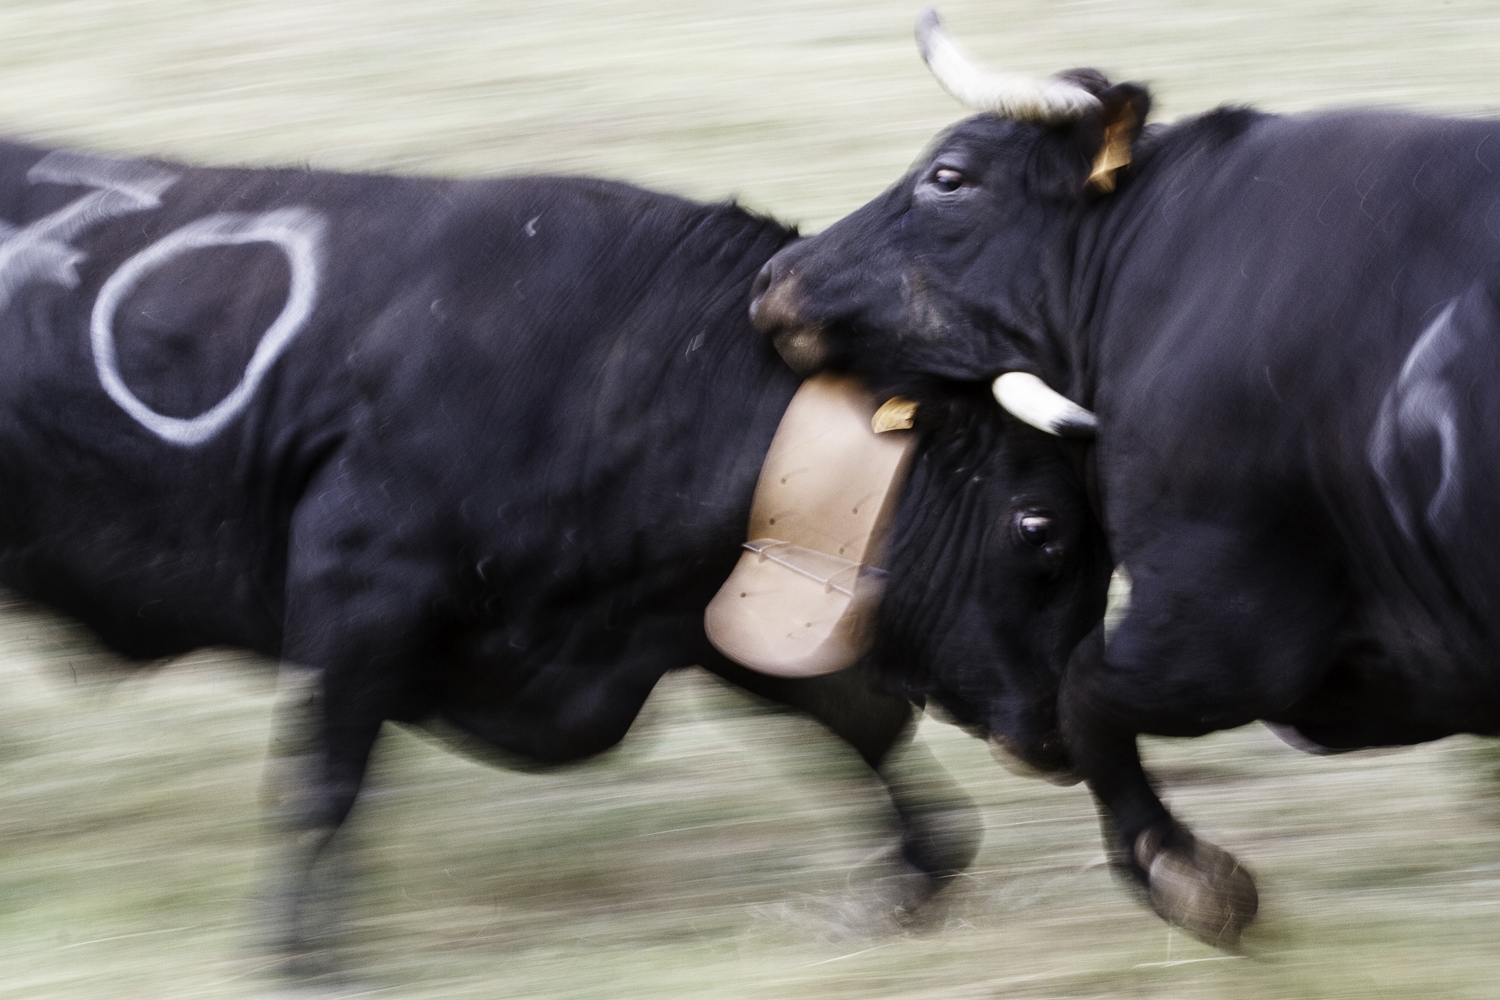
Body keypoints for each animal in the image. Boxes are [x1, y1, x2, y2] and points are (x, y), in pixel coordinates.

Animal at [0, 137, 1110, 959]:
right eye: (1039, 525)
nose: (1066, 733)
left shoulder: (720, 614)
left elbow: (859, 725)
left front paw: (917, 881)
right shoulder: (357, 588)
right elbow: (324, 787)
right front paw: (303, 960)